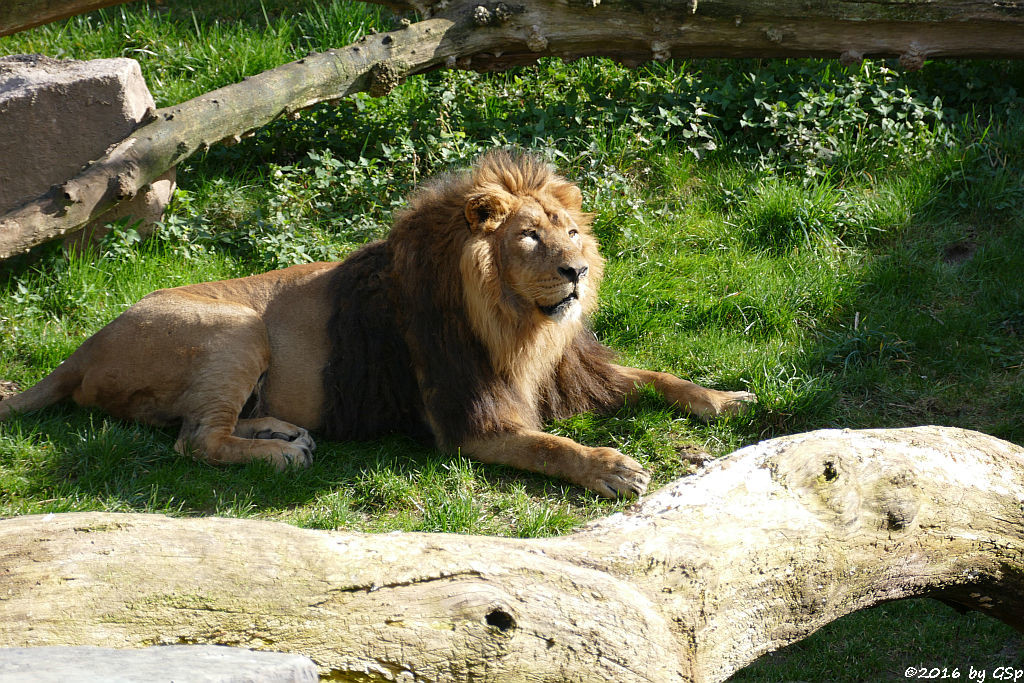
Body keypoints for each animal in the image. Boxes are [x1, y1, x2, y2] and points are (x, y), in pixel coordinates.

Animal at [0, 152, 753, 499]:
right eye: (530, 239)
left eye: (570, 231)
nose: (577, 272)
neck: (520, 325)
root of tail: (81, 348)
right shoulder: (469, 421)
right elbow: (551, 447)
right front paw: (612, 466)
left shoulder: (572, 372)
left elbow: (658, 375)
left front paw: (728, 398)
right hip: (237, 327)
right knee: (195, 440)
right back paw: (278, 455)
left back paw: (284, 434)